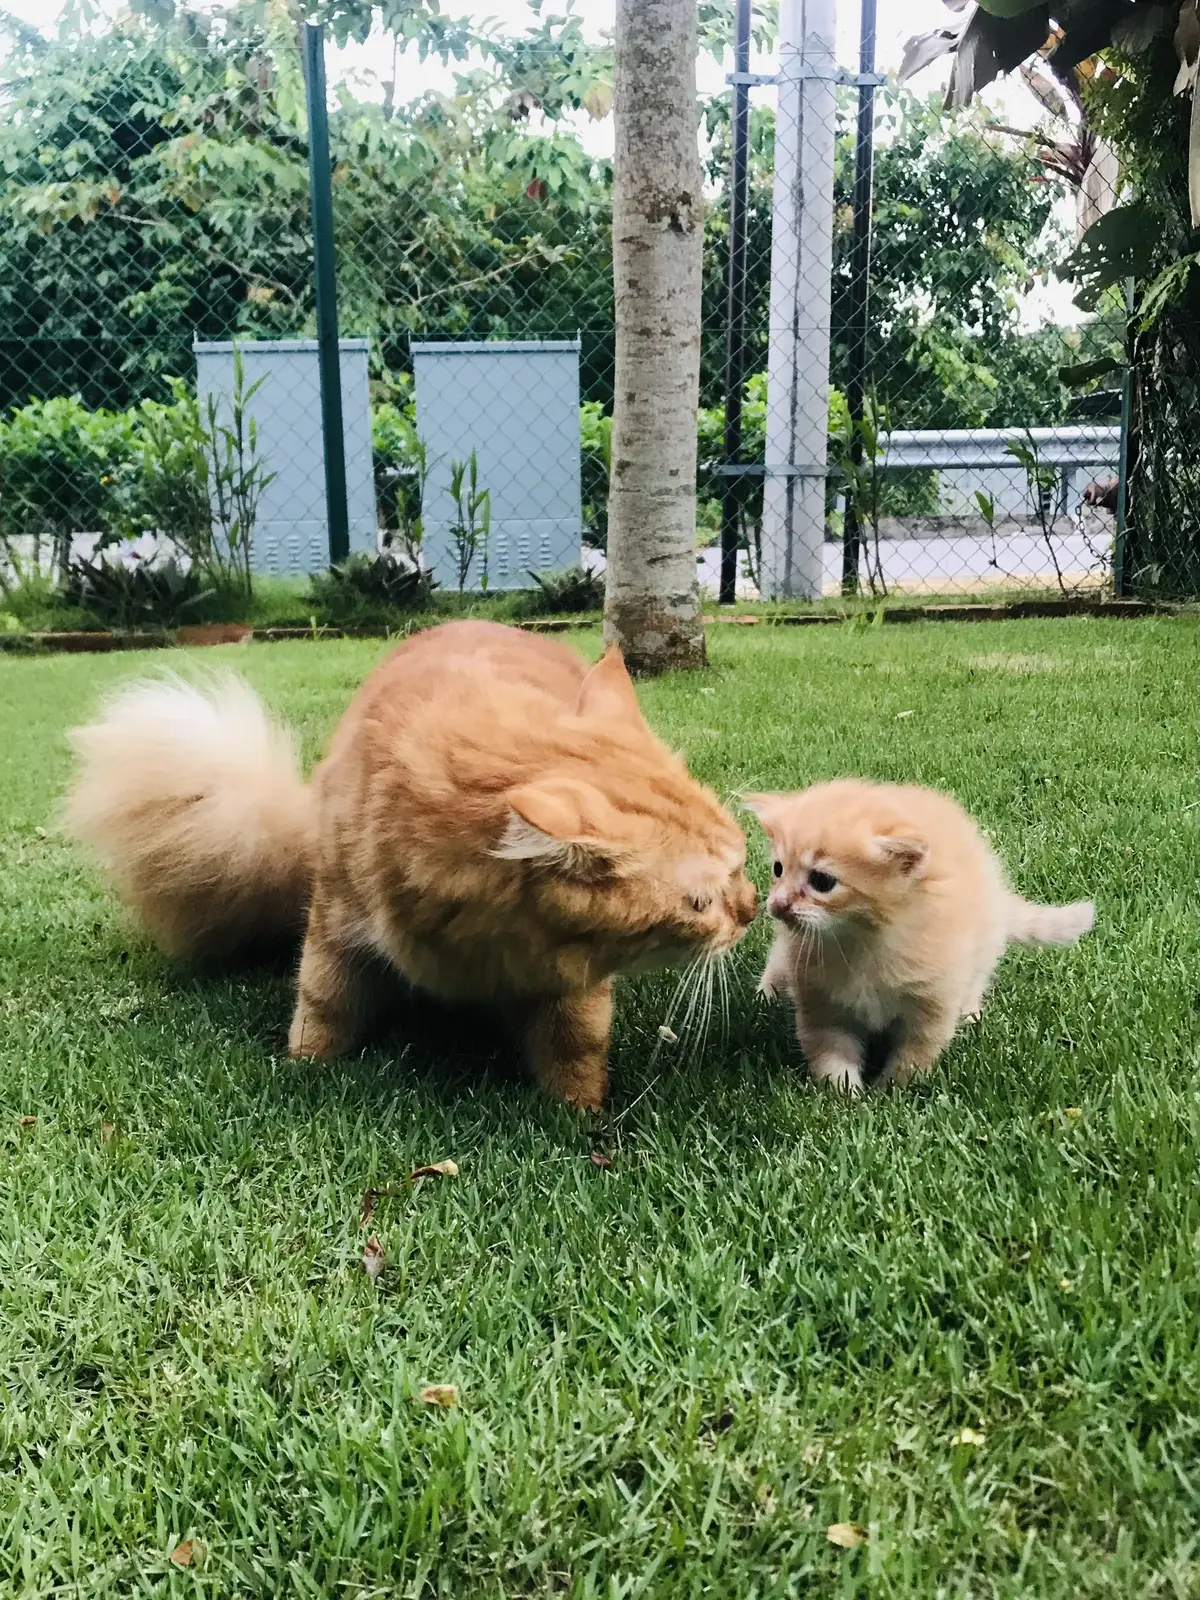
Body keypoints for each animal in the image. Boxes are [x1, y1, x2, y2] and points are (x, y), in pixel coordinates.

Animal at [65, 617, 755, 1107]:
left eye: (743, 864)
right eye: (701, 902)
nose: (751, 911)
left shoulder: (572, 981)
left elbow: (576, 1046)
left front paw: (582, 1117)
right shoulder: (336, 926)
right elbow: (323, 1004)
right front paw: (304, 1071)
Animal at [752, 780, 1100, 1094]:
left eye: (822, 881)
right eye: (778, 869)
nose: (777, 904)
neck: (862, 941)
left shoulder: (933, 1003)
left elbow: (914, 1055)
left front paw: (889, 1094)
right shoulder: (821, 1004)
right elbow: (831, 1053)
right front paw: (845, 1095)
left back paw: (970, 1013)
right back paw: (767, 992)